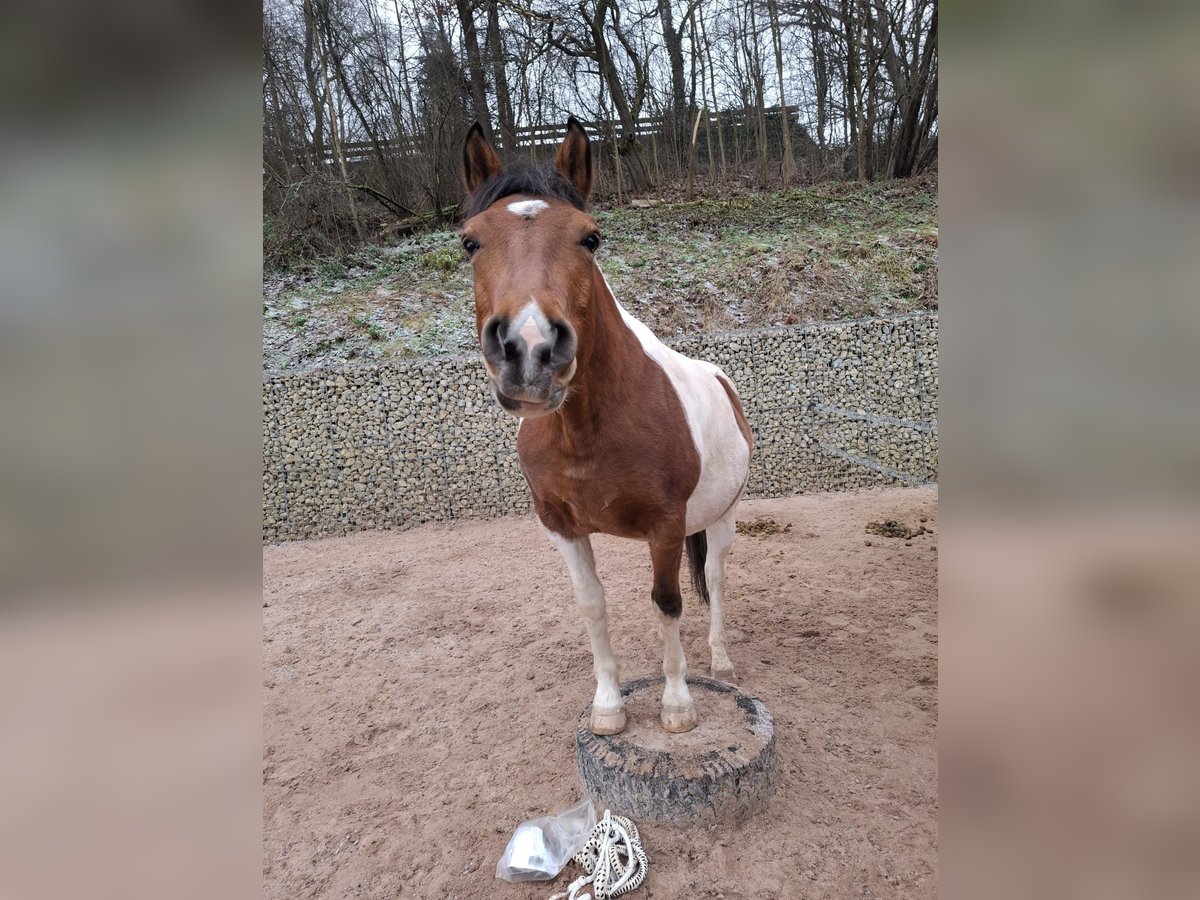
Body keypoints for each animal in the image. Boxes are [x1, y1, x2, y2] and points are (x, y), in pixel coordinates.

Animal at [460, 117, 753, 735]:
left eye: (589, 238)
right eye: (470, 241)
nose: (531, 350)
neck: (586, 430)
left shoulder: (666, 526)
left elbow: (667, 601)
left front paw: (677, 706)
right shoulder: (561, 527)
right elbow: (592, 607)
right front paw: (609, 706)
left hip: (725, 514)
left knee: (715, 578)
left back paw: (719, 661)